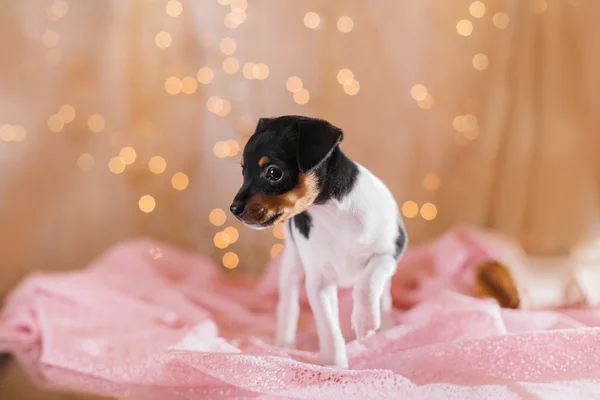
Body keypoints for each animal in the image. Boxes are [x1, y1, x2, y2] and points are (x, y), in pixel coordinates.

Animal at [230, 115, 408, 368]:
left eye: (274, 173)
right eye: (244, 171)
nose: (233, 209)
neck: (333, 214)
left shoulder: (391, 250)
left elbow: (368, 281)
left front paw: (364, 319)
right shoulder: (319, 283)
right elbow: (328, 327)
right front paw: (334, 364)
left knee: (383, 293)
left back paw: (385, 323)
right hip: (292, 262)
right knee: (288, 303)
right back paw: (283, 341)